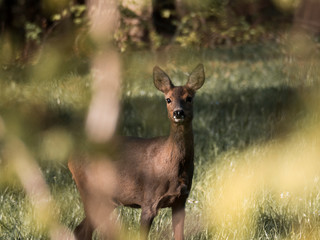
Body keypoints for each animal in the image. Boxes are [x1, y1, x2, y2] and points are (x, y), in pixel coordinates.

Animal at [69, 63, 206, 240]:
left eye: (189, 98)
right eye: (168, 99)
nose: (178, 112)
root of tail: (70, 158)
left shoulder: (180, 200)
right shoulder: (149, 201)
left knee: (81, 230)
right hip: (90, 191)